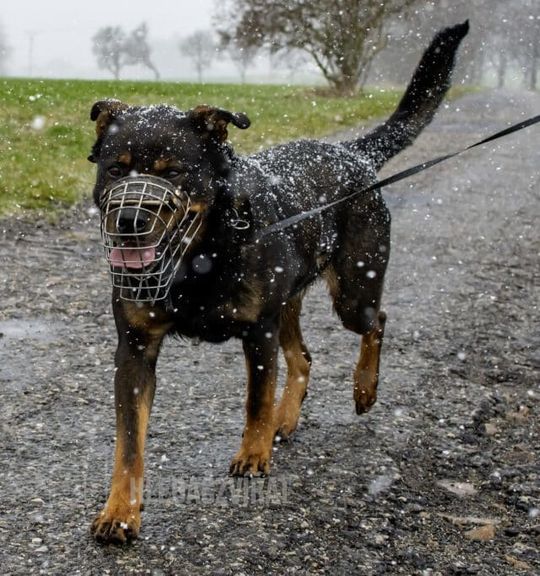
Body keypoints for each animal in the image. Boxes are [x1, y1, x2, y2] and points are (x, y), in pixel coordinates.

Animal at [88, 22, 469, 543]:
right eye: (115, 169)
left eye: (175, 172)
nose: (128, 220)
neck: (201, 256)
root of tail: (350, 153)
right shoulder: (135, 348)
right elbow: (128, 443)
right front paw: (120, 510)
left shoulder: (258, 332)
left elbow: (255, 401)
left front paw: (253, 452)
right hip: (289, 301)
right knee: (303, 357)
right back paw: (285, 419)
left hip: (353, 291)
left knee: (377, 320)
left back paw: (363, 388)